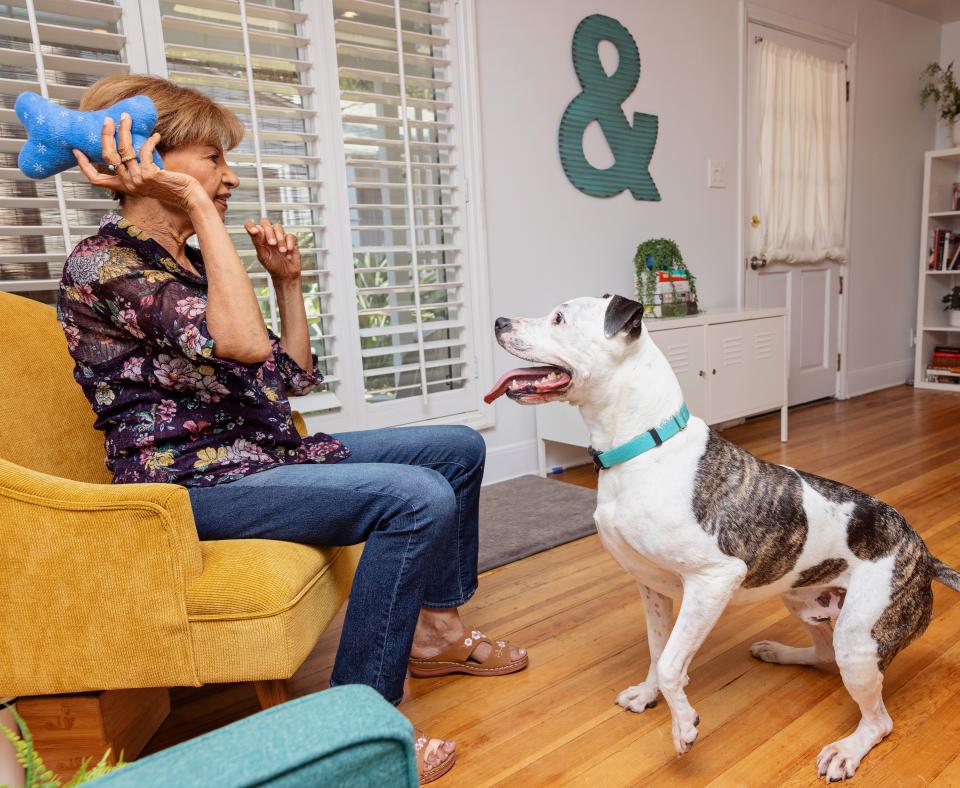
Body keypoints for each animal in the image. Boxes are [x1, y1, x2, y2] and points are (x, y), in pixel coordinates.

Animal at [488, 294, 960, 780]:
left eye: (559, 318)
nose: (499, 321)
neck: (642, 448)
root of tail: (923, 551)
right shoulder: (651, 586)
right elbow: (658, 650)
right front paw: (649, 694)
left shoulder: (713, 579)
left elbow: (672, 661)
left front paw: (683, 725)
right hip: (803, 601)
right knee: (823, 654)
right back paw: (779, 653)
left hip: (859, 638)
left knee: (879, 720)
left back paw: (847, 750)